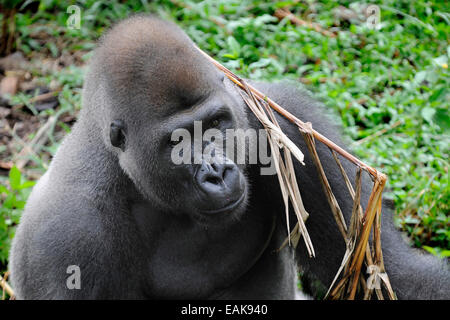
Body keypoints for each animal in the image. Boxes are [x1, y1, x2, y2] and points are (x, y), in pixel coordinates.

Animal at [8, 15, 448, 300]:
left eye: (217, 122)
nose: (217, 173)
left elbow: (386, 274)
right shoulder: (65, 237)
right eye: (177, 142)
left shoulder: (282, 125)